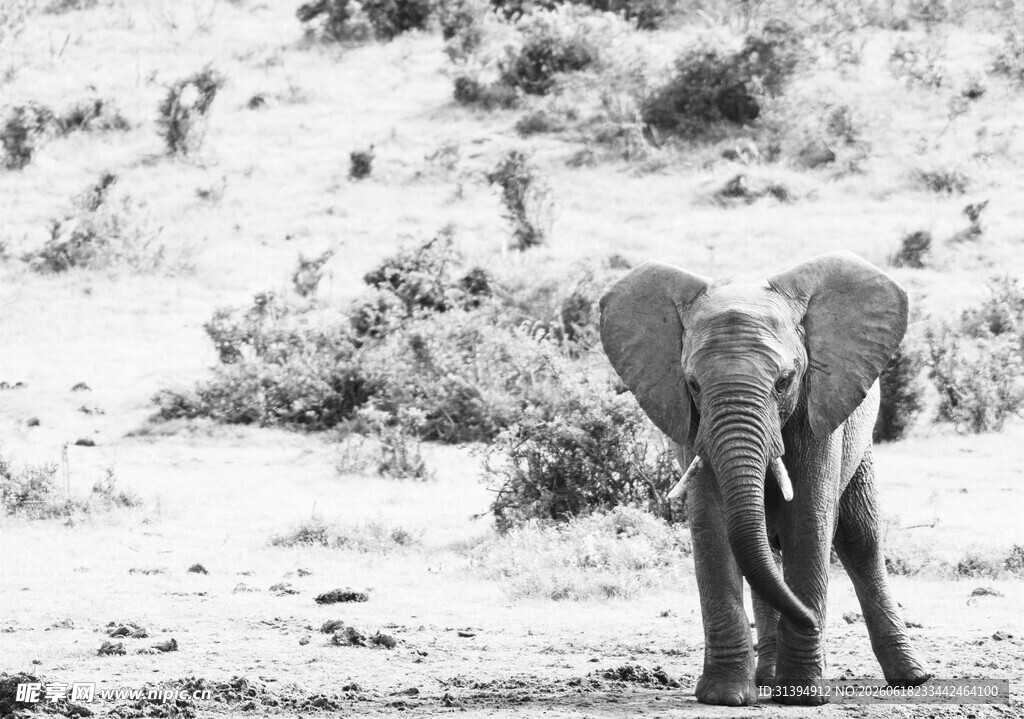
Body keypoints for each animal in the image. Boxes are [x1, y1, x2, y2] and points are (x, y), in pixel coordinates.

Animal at [599, 251, 930, 706]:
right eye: (692, 384)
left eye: (784, 381)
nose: (812, 621)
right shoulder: (691, 424)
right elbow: (711, 525)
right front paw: (724, 696)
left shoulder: (818, 407)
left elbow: (809, 519)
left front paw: (804, 695)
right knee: (767, 553)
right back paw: (771, 680)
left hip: (860, 446)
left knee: (859, 540)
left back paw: (911, 677)